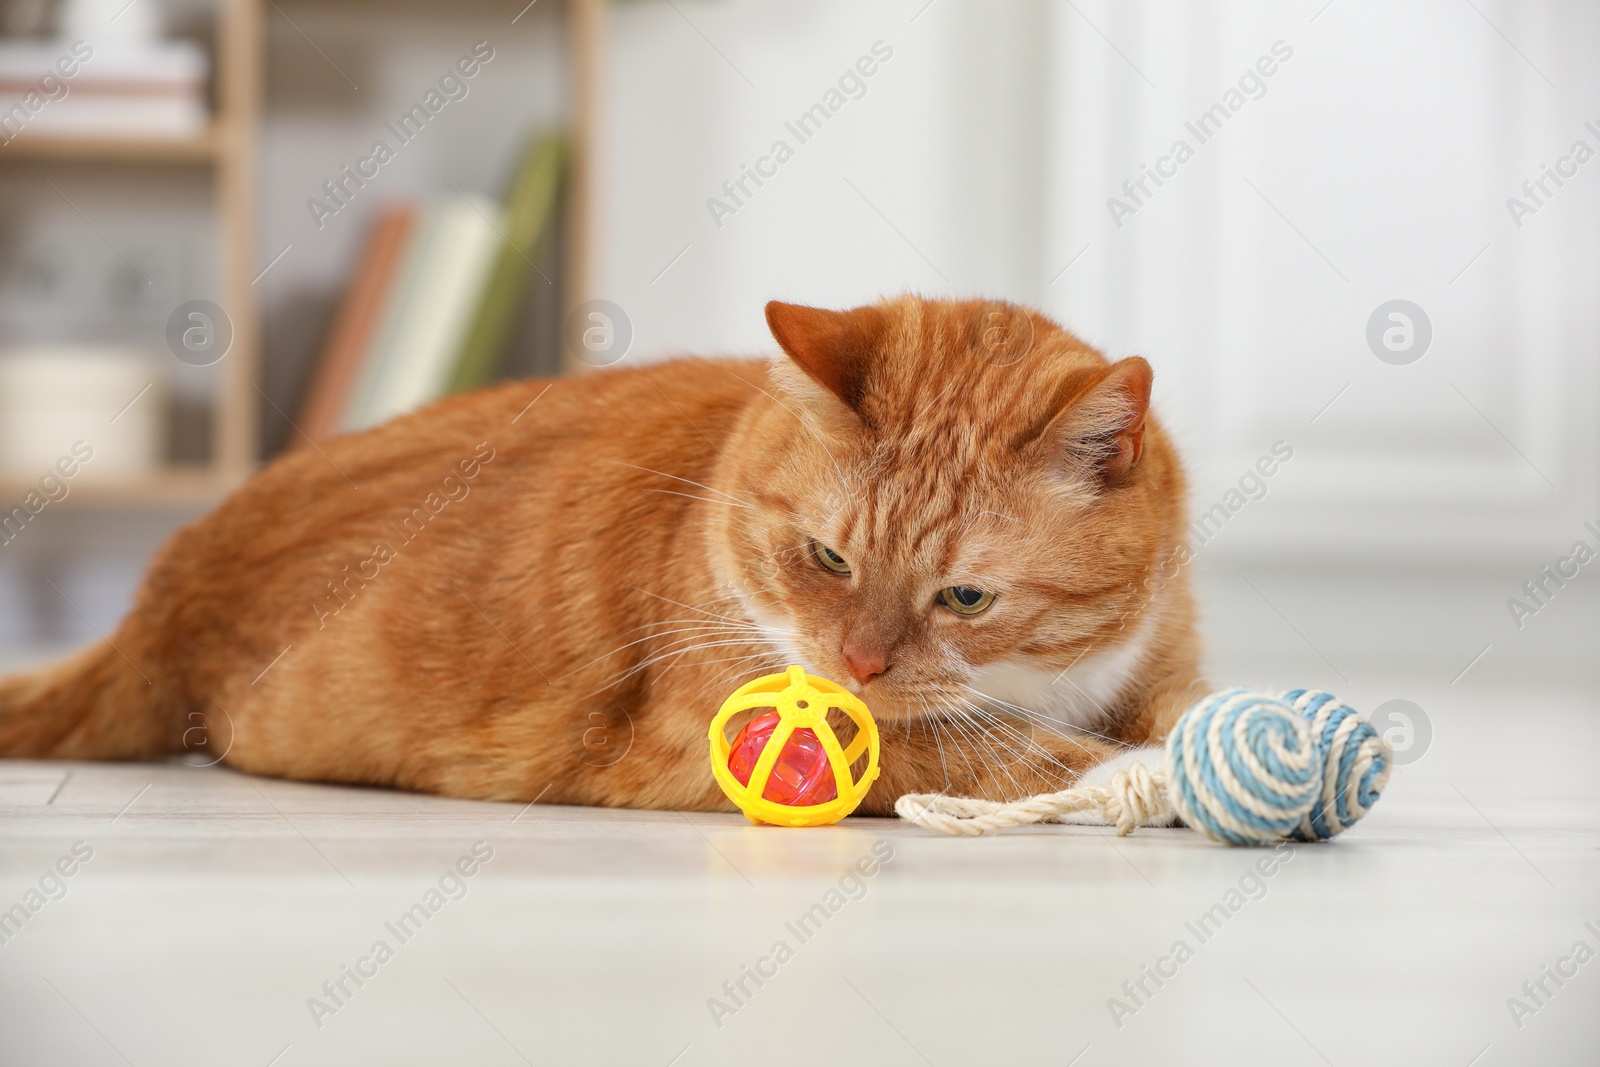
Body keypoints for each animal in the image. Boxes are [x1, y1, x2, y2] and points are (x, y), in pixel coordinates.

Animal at [0, 295, 1203, 812]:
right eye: (826, 557)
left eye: (965, 596)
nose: (854, 666)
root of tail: (167, 579)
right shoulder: (694, 735)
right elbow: (978, 749)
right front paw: (1130, 774)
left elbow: (1176, 708)